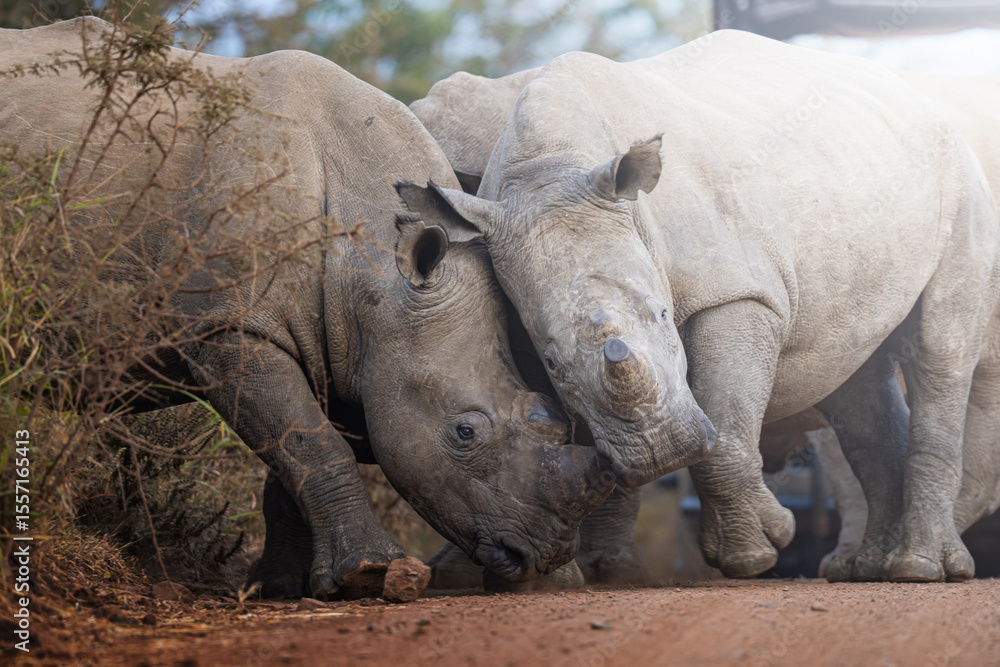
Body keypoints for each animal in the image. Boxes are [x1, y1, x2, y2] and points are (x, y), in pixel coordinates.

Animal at [0, 17, 614, 598]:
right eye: (465, 433)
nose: (545, 554)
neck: (374, 268)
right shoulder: (226, 325)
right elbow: (310, 441)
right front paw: (368, 574)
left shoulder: (341, 342)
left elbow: (293, 455)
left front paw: (282, 587)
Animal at [399, 31, 1000, 582]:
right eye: (551, 361)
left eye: (664, 316)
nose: (662, 453)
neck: (551, 167)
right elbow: (582, 428)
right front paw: (603, 570)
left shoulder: (738, 288)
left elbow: (728, 416)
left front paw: (753, 555)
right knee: (856, 376)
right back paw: (871, 568)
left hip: (960, 179)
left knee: (940, 350)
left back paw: (918, 570)